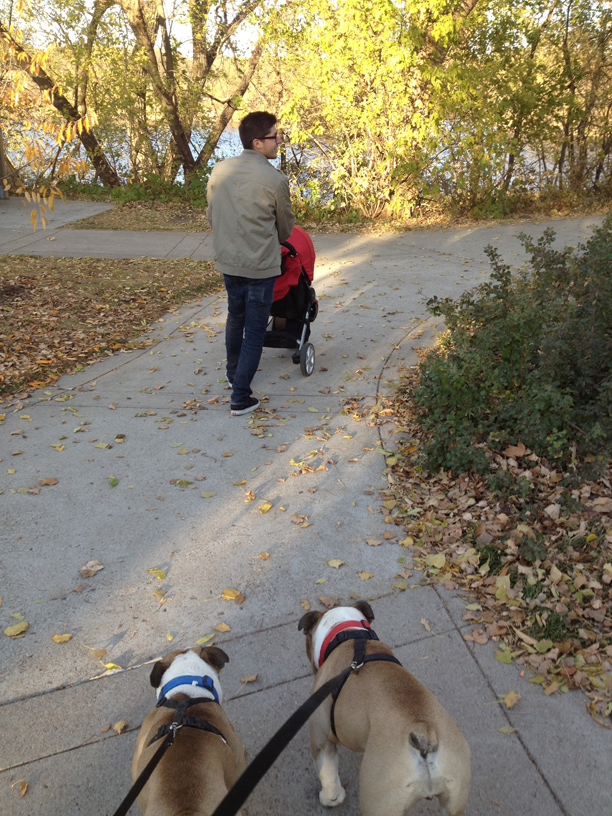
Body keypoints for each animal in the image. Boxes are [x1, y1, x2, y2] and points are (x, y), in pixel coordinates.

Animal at [298, 601, 471, 816]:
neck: (349, 633)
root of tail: (424, 733)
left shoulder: (322, 740)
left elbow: (329, 777)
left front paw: (330, 799)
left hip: (379, 801)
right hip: (453, 795)